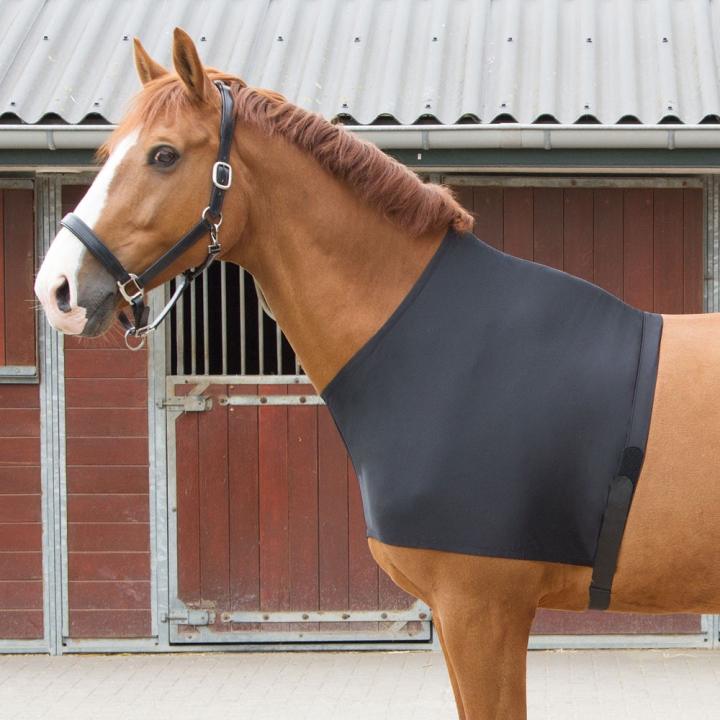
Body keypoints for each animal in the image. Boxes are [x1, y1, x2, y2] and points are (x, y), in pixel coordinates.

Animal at [34, 28, 720, 720]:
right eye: (107, 151)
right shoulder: (464, 617)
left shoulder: (482, 612)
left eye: (164, 155)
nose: (57, 288)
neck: (444, 348)